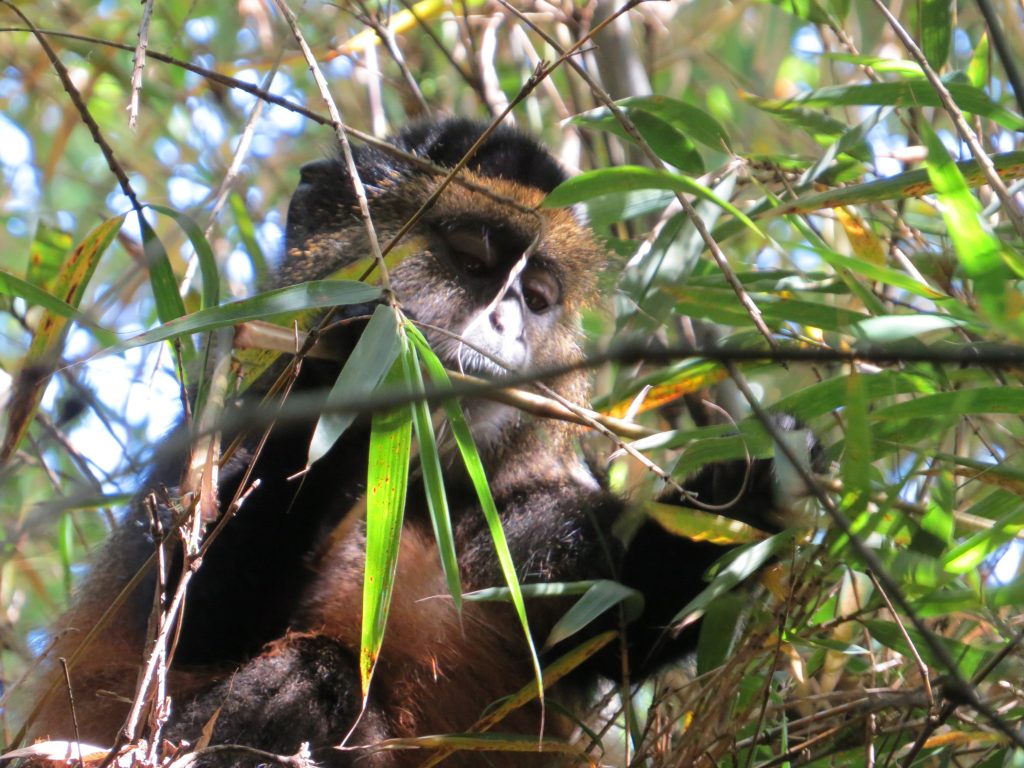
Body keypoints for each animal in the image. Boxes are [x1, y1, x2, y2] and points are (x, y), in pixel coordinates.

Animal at [20, 118, 815, 767]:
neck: (415, 479)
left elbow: (635, 611)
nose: (505, 321)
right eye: (472, 259)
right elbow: (188, 627)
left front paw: (760, 479)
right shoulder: (219, 429)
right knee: (307, 679)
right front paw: (359, 363)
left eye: (537, 298)